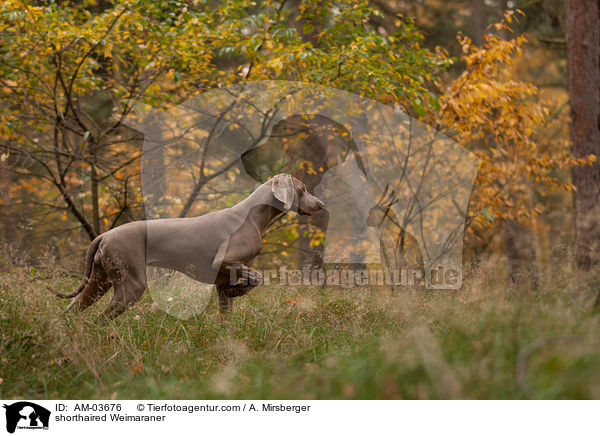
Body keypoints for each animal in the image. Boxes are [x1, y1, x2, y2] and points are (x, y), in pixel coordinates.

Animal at [51, 174, 324, 320]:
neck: (252, 216)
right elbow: (257, 277)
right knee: (102, 318)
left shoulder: (222, 282)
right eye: (303, 189)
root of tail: (103, 235)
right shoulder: (225, 261)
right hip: (130, 284)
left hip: (100, 280)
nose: (321, 204)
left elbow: (226, 315)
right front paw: (241, 290)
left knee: (72, 310)